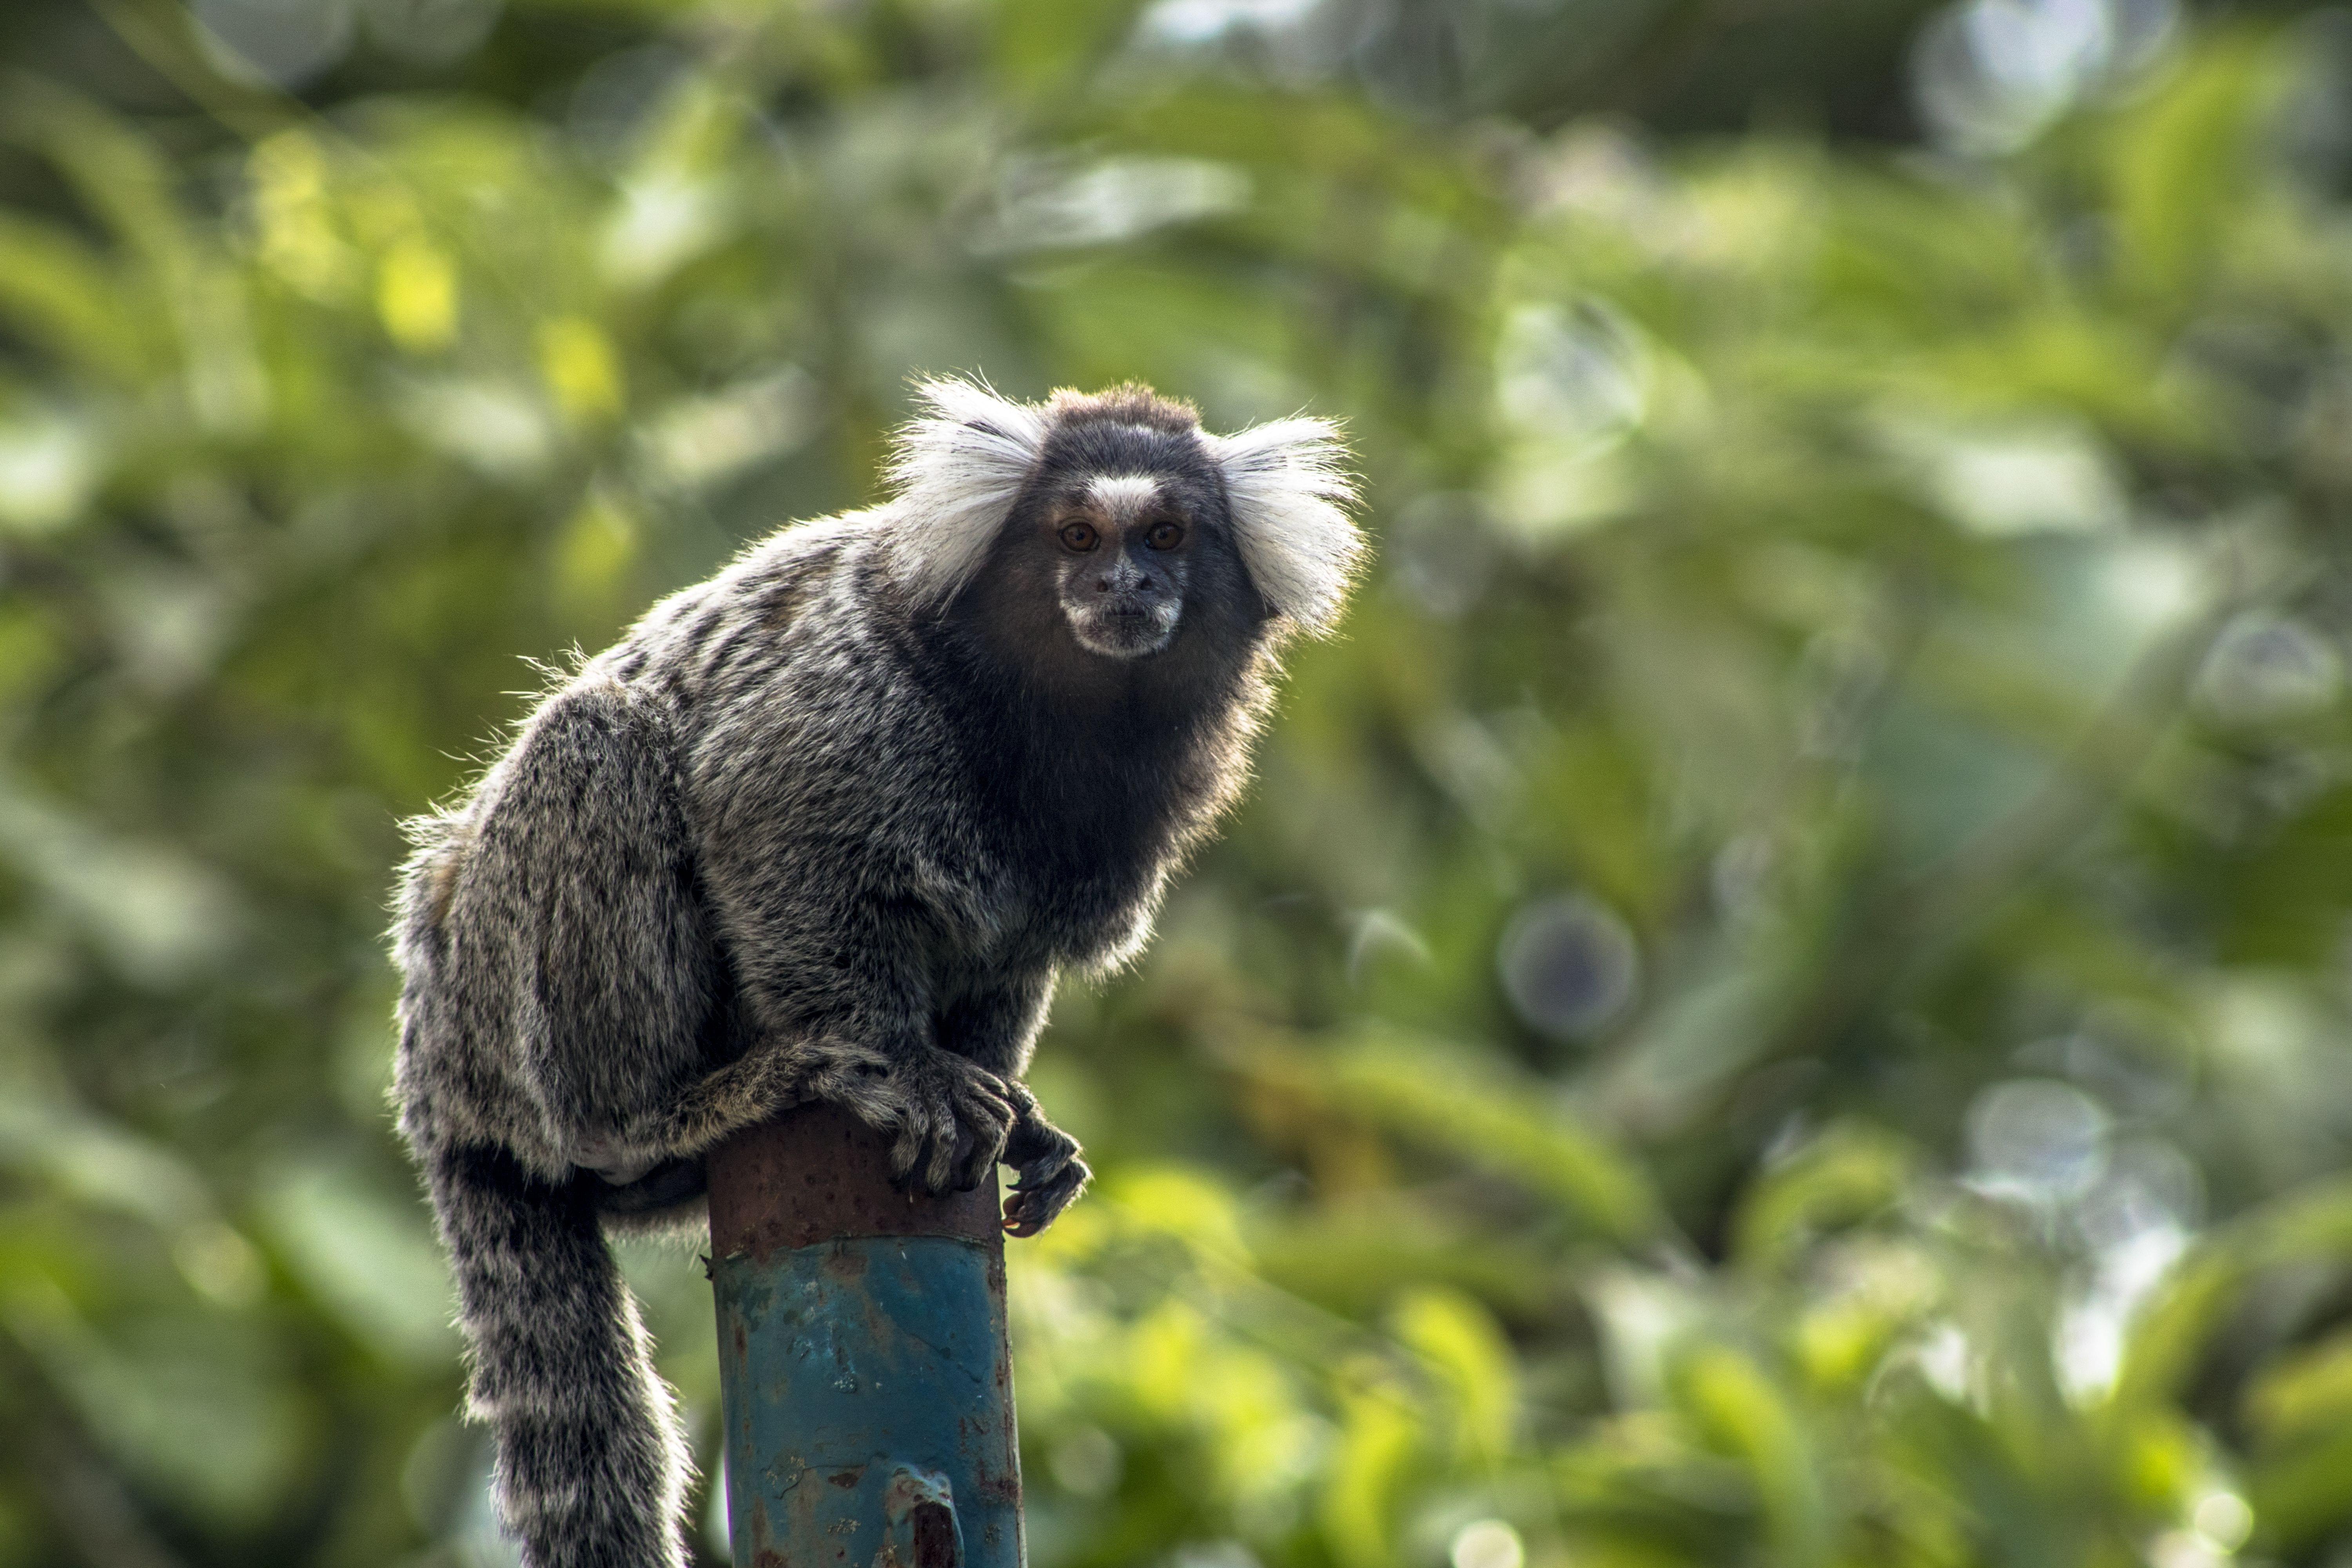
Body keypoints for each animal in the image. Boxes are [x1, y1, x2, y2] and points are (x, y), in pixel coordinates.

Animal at [390, 381, 1364, 1568]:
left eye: (1169, 536)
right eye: (1078, 536)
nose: (1125, 586)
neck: (1052, 720)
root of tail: (433, 1073)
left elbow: (1006, 967)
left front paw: (1016, 1117)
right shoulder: (837, 720)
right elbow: (777, 853)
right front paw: (908, 1070)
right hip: (500, 977)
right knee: (597, 747)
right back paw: (672, 1112)